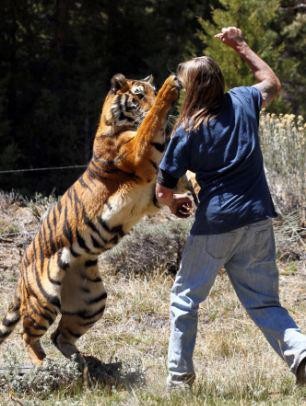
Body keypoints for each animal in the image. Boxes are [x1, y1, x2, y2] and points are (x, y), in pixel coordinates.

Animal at [0, 73, 189, 368]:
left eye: (151, 90)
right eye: (139, 94)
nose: (151, 97)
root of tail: (21, 273)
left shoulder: (151, 189)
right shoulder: (137, 154)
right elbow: (150, 124)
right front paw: (170, 88)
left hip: (91, 301)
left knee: (59, 336)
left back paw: (83, 362)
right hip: (44, 298)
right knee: (27, 335)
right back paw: (44, 366)